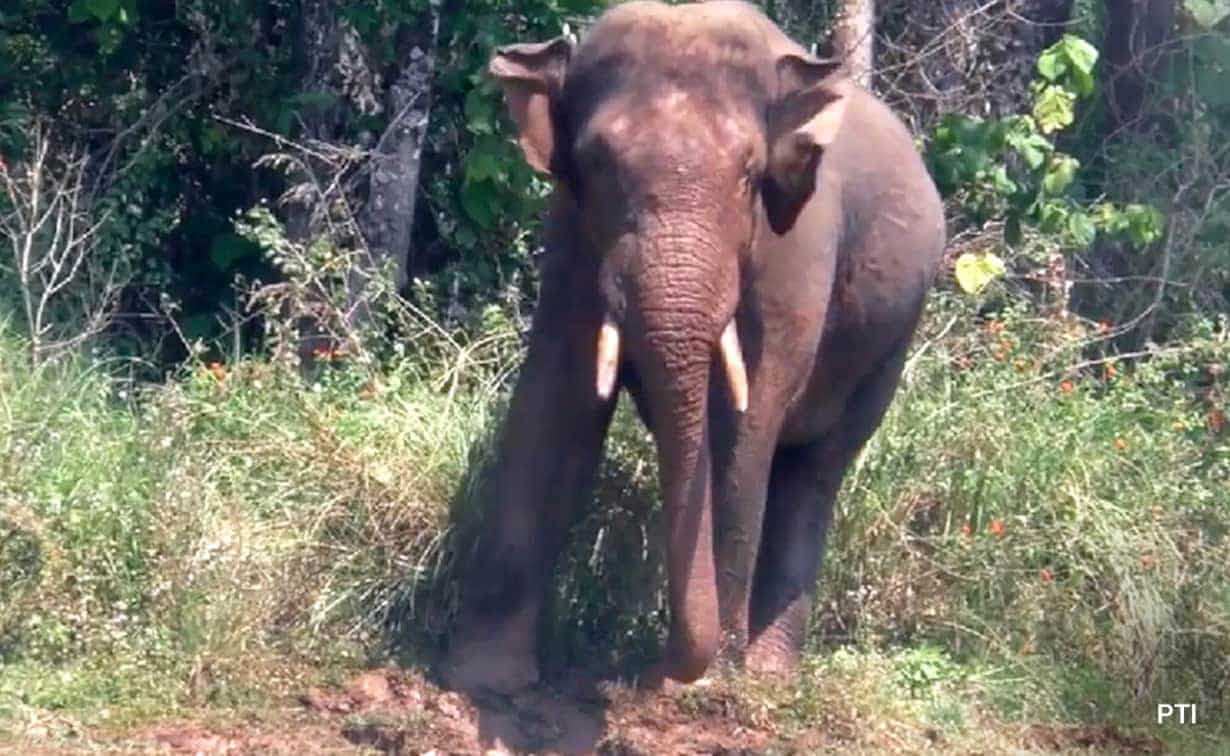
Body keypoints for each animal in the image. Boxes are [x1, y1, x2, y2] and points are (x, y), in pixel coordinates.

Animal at [442, 0, 939, 693]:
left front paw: (698, 689)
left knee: (817, 470)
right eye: (597, 163)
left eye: (750, 174)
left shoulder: (795, 251)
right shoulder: (572, 233)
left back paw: (767, 678)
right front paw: (484, 679)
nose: (653, 670)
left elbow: (744, 422)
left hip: (892, 340)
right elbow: (557, 402)